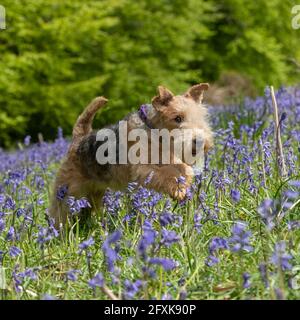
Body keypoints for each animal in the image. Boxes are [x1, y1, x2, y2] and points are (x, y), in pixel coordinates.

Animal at [49, 83, 213, 228]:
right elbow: (167, 174)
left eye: (200, 117)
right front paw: (178, 190)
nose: (200, 141)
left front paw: (184, 186)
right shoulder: (144, 169)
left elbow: (184, 169)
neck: (153, 131)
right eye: (177, 118)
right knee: (58, 213)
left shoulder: (169, 159)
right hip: (67, 192)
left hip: (93, 194)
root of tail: (79, 139)